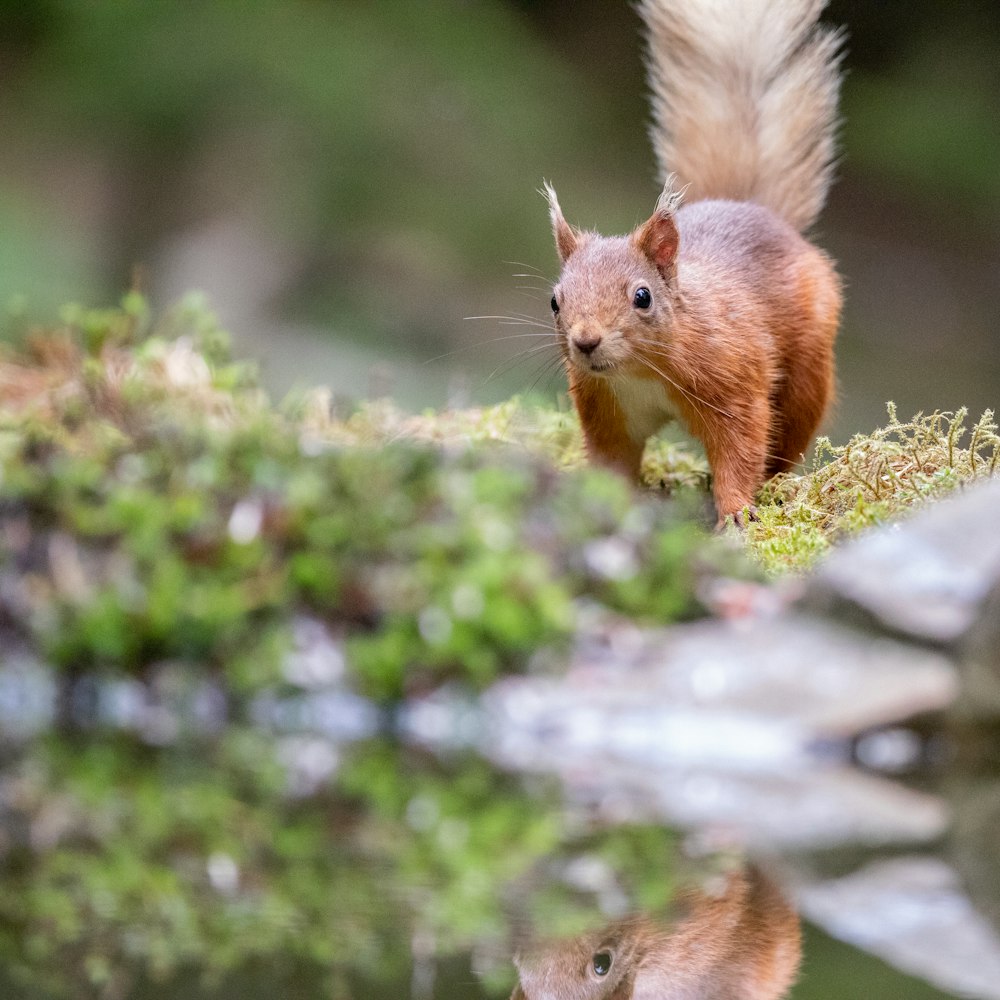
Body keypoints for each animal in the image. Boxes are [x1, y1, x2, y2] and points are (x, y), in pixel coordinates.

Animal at [548, 0, 844, 528]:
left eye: (642, 296)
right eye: (554, 302)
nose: (585, 342)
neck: (641, 372)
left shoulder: (735, 384)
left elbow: (740, 450)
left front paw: (736, 513)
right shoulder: (607, 407)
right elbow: (611, 458)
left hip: (808, 369)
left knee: (787, 437)